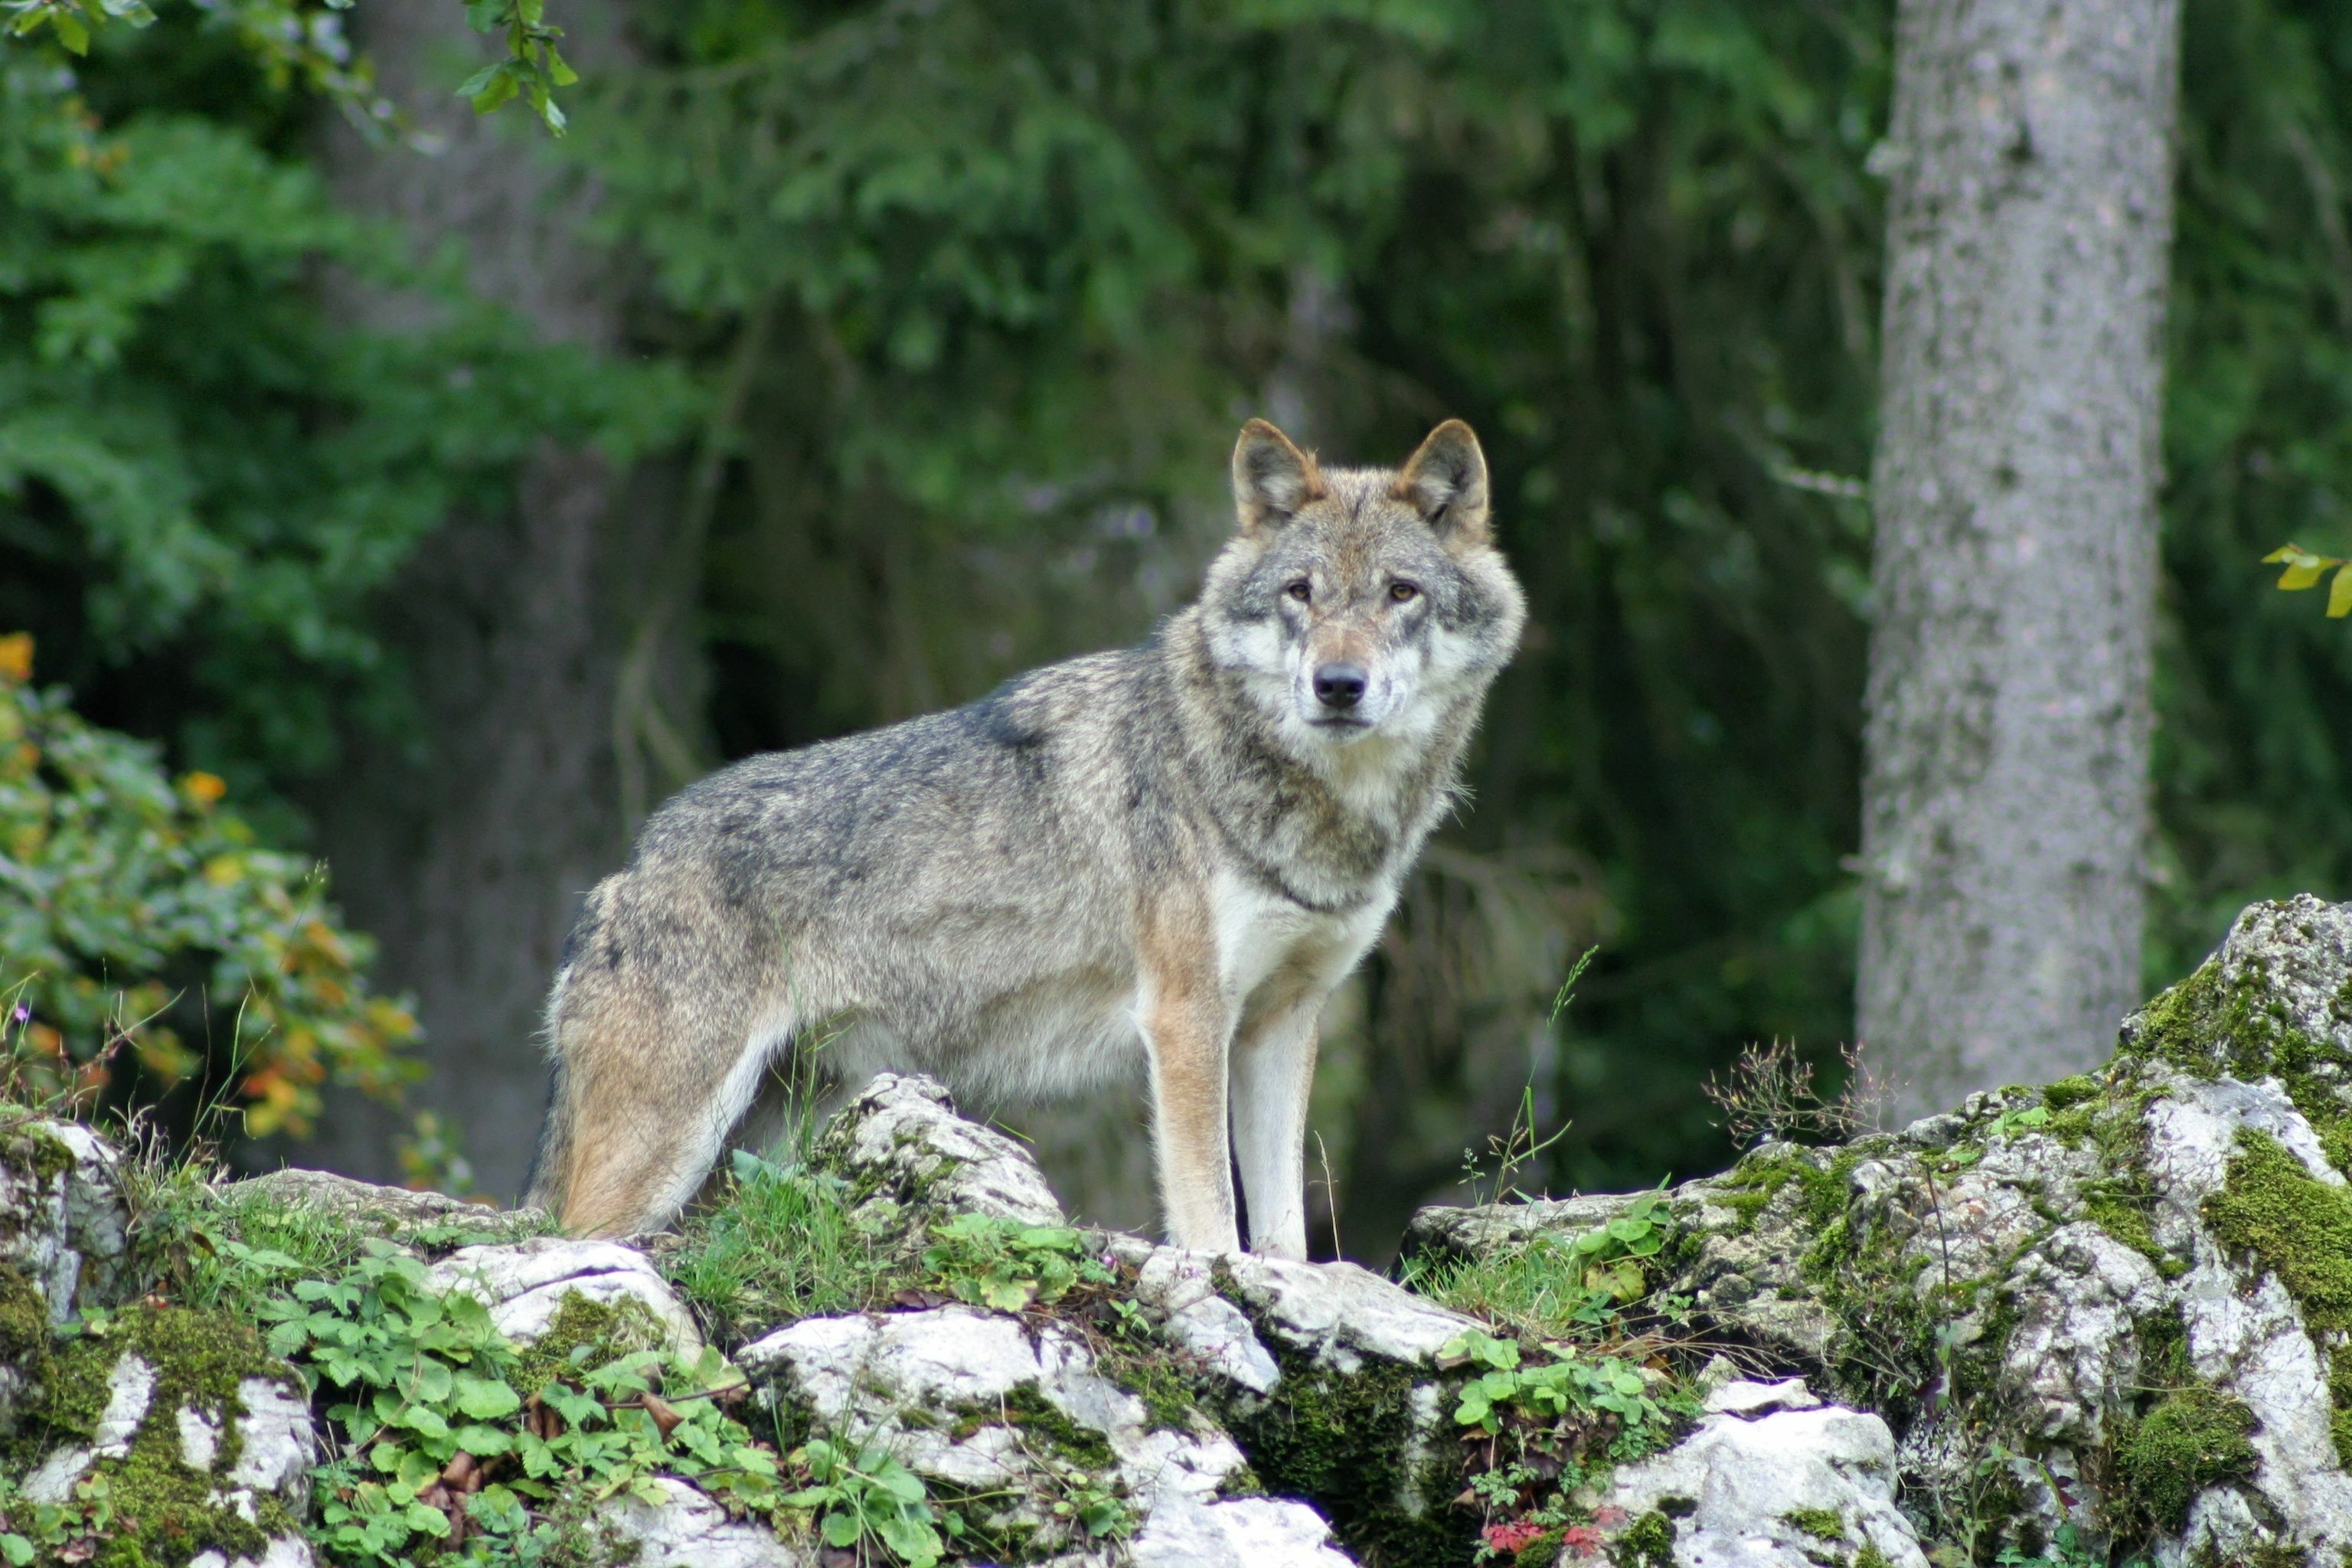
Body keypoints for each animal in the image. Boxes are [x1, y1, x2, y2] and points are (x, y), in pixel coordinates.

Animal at [523, 418, 1527, 1257]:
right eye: (1300, 593)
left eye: (1400, 592)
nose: (1337, 685)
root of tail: (624, 873)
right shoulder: (1185, 1016)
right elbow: (1208, 1210)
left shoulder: (1282, 1020)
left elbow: (1282, 1230)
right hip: (662, 1150)